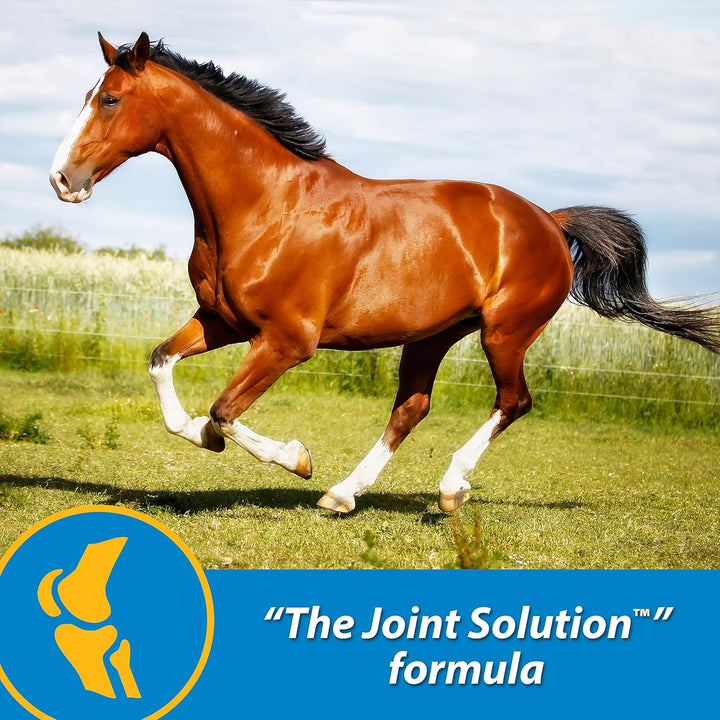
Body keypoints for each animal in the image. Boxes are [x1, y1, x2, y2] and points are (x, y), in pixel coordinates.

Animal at [50, 32, 720, 513]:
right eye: (87, 95)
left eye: (110, 99)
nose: (62, 179)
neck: (266, 203)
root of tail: (550, 222)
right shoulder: (223, 322)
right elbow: (163, 366)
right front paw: (202, 436)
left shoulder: (287, 342)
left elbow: (223, 410)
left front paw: (296, 457)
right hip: (433, 336)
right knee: (411, 409)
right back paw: (342, 495)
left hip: (504, 333)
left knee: (514, 401)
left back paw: (448, 490)